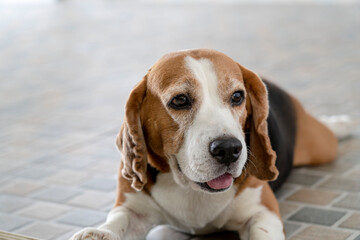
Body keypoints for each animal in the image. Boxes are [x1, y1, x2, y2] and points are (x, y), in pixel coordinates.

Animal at [72, 48, 338, 240]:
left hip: (322, 145)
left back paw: (339, 123)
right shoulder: (132, 208)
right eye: (180, 100)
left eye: (237, 96)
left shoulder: (264, 211)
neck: (190, 187)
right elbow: (119, 220)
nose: (229, 149)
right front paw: (99, 233)